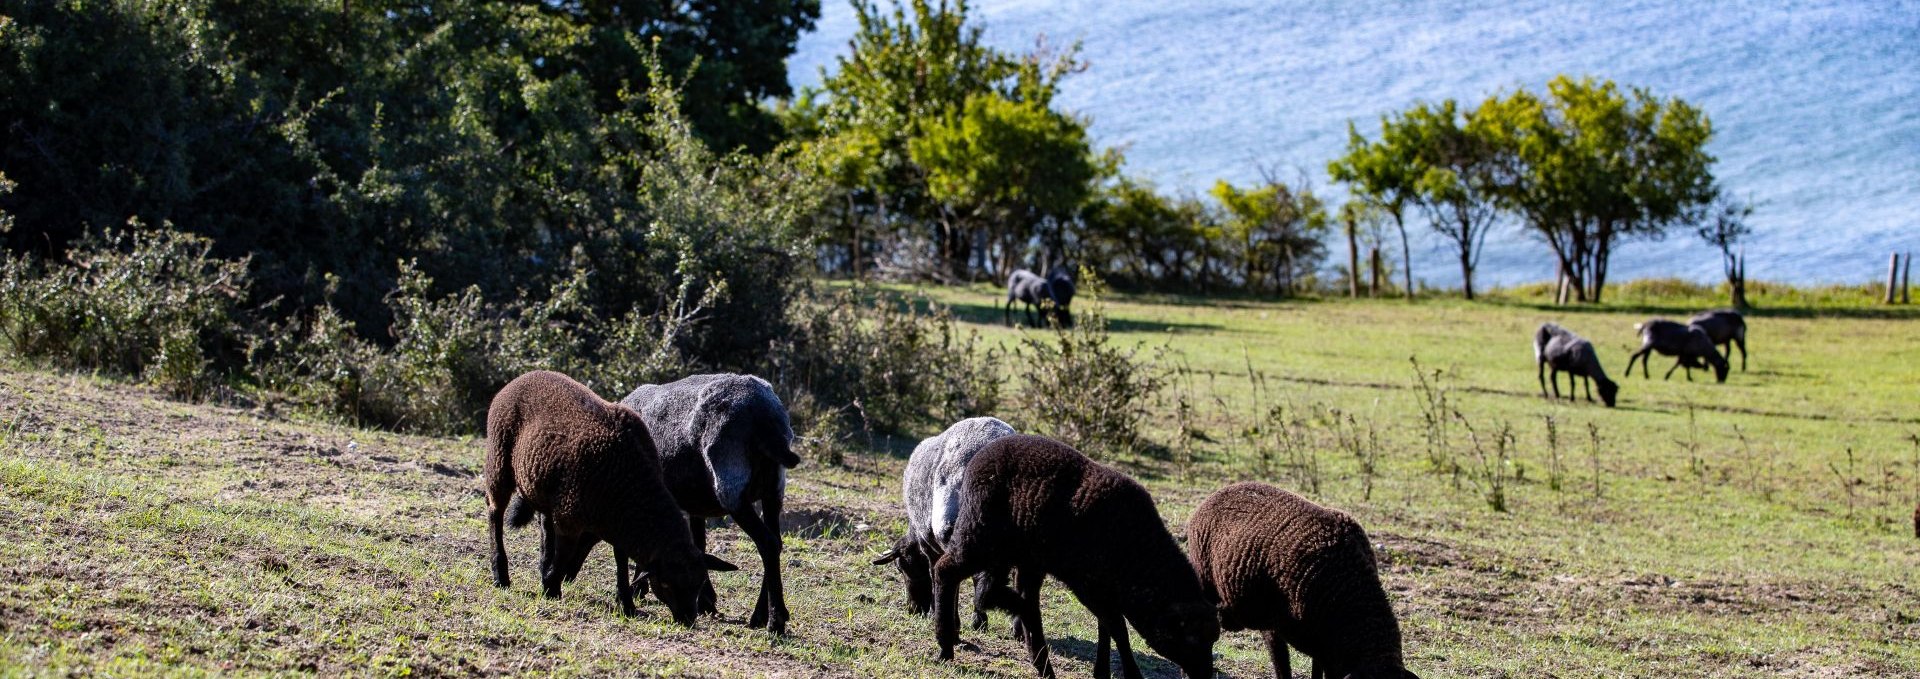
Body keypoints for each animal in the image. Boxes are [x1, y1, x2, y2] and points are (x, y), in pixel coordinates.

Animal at [483, 368, 737, 621]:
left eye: (699, 583)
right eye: (665, 584)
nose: (688, 620)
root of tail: (524, 376)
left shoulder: (616, 522)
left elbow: (621, 561)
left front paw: (626, 604)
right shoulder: (569, 516)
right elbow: (564, 555)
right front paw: (551, 589)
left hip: (541, 485)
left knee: (544, 524)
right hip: (499, 462)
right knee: (495, 513)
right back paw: (501, 576)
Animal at [871, 416, 1021, 632]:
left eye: (901, 568)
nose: (913, 610)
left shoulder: (929, 546)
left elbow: (936, 575)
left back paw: (968, 620)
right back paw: (1017, 628)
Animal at [929, 435, 1213, 679]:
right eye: (1191, 637)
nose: (1205, 676)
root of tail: (979, 457)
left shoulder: (1101, 588)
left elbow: (1106, 626)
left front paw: (1102, 671)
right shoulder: (1088, 584)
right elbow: (1117, 627)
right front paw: (1132, 675)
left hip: (1016, 555)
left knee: (999, 594)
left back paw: (1040, 662)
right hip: (981, 535)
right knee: (946, 570)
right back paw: (945, 645)